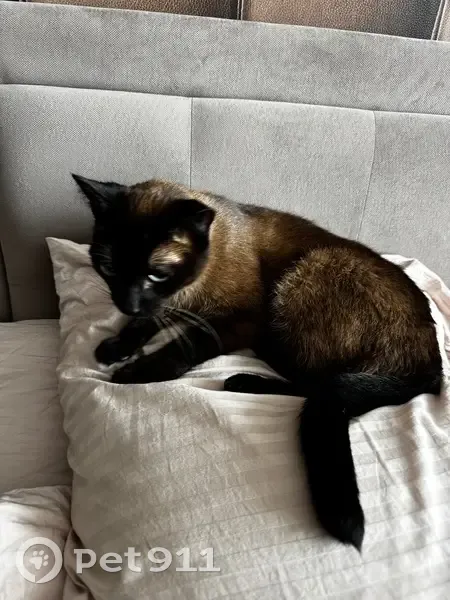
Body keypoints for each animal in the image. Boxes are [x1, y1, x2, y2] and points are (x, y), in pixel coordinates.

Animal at [73, 174, 443, 550]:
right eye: (108, 268)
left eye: (157, 274)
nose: (127, 304)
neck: (188, 292)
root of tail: (432, 370)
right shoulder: (166, 306)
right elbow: (145, 323)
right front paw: (117, 346)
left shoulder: (237, 322)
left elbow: (183, 345)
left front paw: (138, 370)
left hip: (301, 281)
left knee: (319, 383)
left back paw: (243, 381)